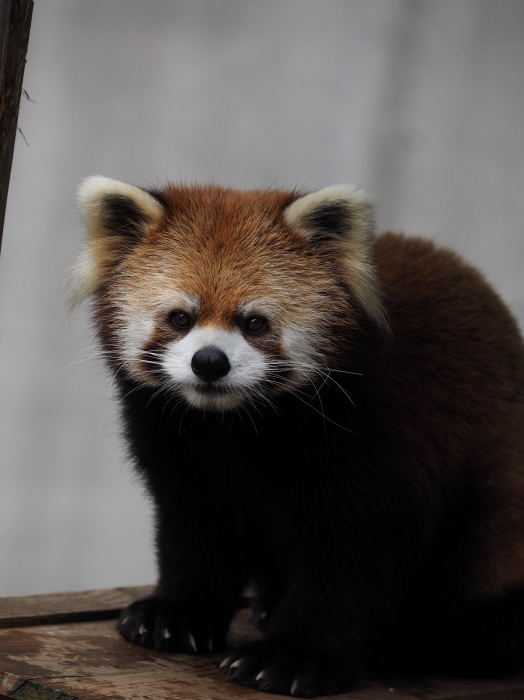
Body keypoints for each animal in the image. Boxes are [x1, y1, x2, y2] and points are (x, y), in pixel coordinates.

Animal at [73, 178, 524, 696]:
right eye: (180, 318)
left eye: (254, 323)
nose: (209, 362)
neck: (236, 425)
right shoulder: (178, 442)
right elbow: (197, 527)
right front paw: (177, 614)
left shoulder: (379, 435)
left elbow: (356, 551)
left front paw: (297, 657)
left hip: (496, 527)